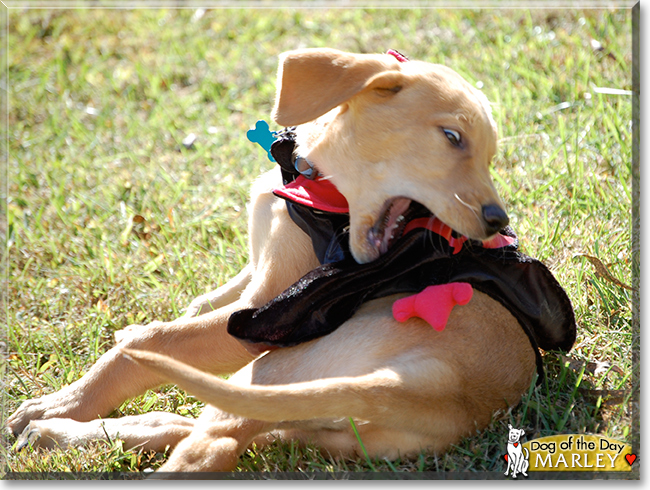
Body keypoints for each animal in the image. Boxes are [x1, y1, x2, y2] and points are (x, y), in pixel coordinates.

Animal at [8, 48, 552, 470]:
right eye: (453, 138)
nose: (498, 222)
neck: (310, 179)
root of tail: (441, 389)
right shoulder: (254, 273)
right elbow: (204, 301)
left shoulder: (261, 316)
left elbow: (149, 343)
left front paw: (64, 399)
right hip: (294, 417)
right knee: (197, 429)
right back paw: (66, 436)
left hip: (274, 369)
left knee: (209, 449)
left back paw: (54, 426)